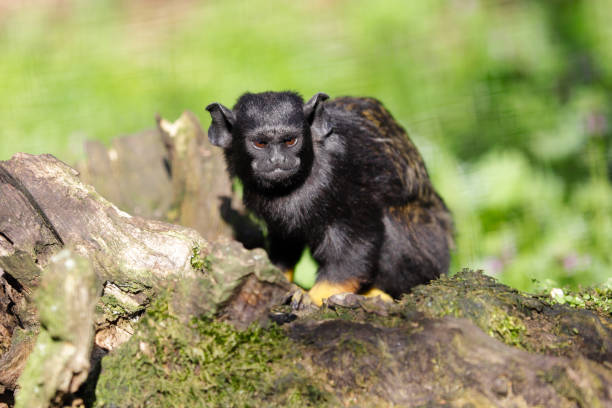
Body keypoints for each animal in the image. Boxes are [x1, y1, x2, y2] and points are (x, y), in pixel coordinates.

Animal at [208, 91, 452, 304]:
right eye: (260, 143)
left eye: (290, 141)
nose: (277, 160)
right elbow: (284, 240)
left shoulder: (343, 173)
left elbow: (357, 241)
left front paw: (313, 296)